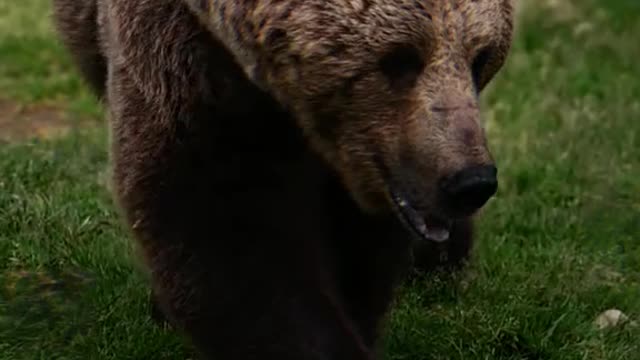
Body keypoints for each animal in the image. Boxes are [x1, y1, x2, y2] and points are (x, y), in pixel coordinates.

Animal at [51, 0, 516, 358]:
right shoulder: (186, 72)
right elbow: (229, 236)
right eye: (401, 59)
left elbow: (357, 247)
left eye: (480, 57)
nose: (470, 181)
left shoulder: (365, 166)